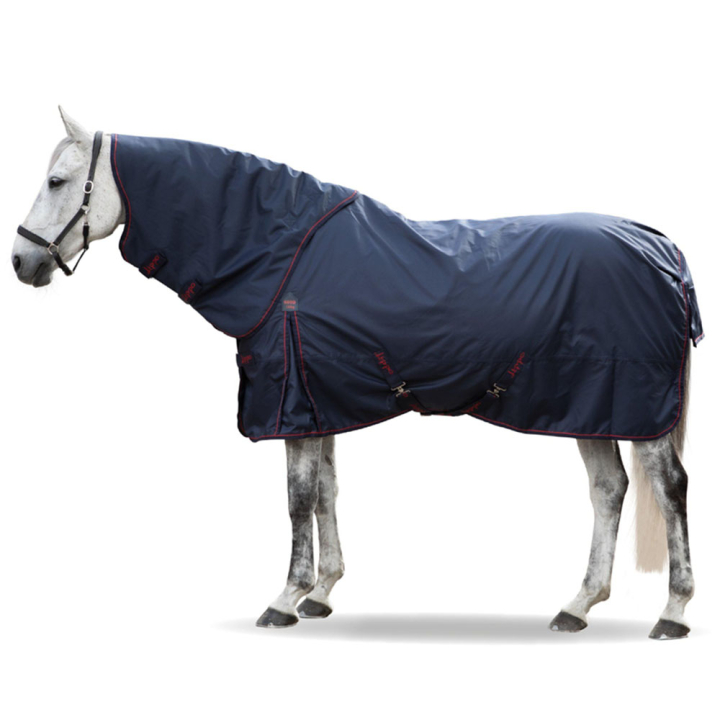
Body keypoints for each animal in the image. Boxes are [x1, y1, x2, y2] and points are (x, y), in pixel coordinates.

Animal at [11, 108, 699, 639]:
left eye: (57, 180)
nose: (21, 260)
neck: (280, 255)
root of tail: (661, 247)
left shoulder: (292, 403)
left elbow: (296, 500)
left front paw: (284, 599)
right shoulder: (321, 402)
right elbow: (325, 492)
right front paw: (321, 593)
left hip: (634, 406)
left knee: (668, 489)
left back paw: (673, 612)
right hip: (591, 407)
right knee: (609, 490)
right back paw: (577, 606)